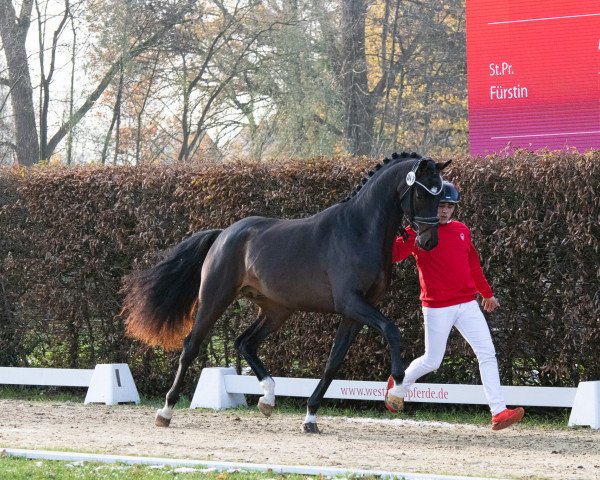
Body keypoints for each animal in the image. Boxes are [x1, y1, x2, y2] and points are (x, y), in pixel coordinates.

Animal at [123, 152, 450, 434]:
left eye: (440, 194)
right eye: (423, 194)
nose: (429, 241)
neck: (359, 230)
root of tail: (223, 234)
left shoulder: (356, 312)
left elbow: (333, 362)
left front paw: (310, 417)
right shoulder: (352, 303)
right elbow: (392, 329)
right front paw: (397, 391)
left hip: (276, 310)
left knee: (245, 343)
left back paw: (268, 398)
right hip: (215, 299)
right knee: (191, 345)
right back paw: (166, 411)